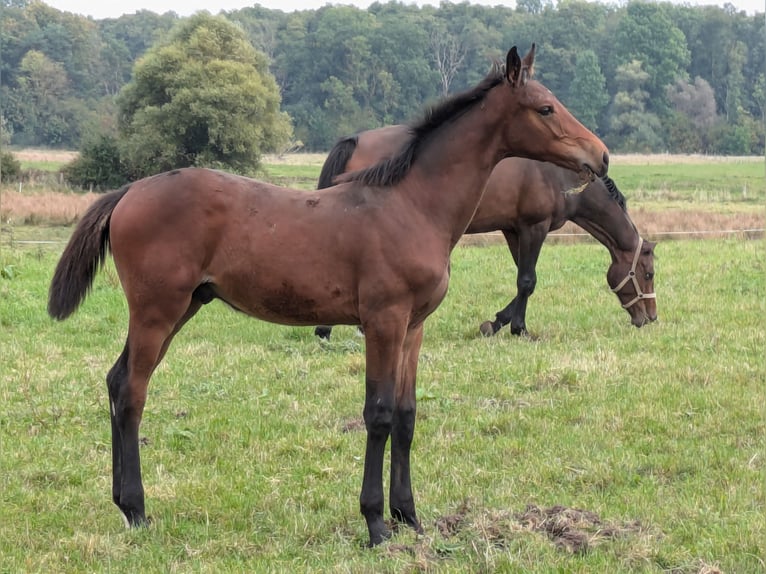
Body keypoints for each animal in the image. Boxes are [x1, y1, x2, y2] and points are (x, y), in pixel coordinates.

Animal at [48, 46, 612, 548]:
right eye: (545, 108)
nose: (601, 155)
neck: (412, 205)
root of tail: (129, 192)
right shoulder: (383, 321)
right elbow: (378, 414)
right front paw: (377, 525)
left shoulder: (414, 326)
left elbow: (406, 415)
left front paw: (411, 517)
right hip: (157, 311)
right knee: (131, 391)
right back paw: (137, 510)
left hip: (183, 306)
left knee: (117, 379)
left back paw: (125, 506)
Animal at [316, 126, 656, 342]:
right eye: (649, 274)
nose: (650, 318)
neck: (561, 175)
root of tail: (356, 139)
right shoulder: (535, 226)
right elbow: (528, 281)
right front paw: (514, 327)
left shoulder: (513, 230)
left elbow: (522, 279)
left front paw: (499, 323)